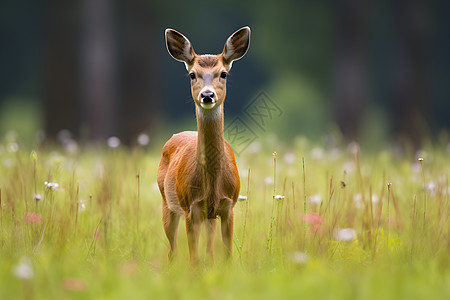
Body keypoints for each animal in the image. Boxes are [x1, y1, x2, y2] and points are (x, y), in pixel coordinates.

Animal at [157, 26, 250, 264]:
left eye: (223, 74)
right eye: (192, 74)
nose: (207, 95)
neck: (212, 186)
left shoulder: (228, 207)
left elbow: (226, 256)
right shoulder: (191, 208)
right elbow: (194, 260)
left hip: (210, 217)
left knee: (209, 250)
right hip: (167, 203)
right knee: (172, 250)